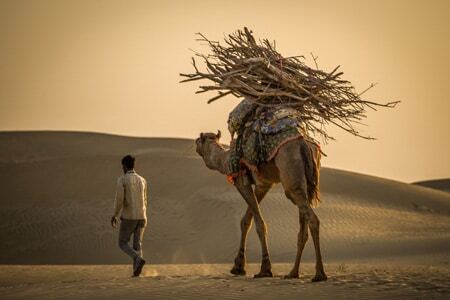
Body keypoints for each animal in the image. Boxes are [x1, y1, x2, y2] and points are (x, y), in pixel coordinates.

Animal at [194, 131, 326, 282]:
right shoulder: (264, 185)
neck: (225, 160)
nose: (195, 142)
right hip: (306, 184)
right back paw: (293, 273)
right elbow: (246, 220)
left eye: (199, 140)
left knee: (313, 219)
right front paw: (238, 266)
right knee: (303, 228)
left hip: (291, 177)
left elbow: (259, 223)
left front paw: (264, 269)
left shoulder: (242, 180)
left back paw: (319, 274)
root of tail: (305, 145)